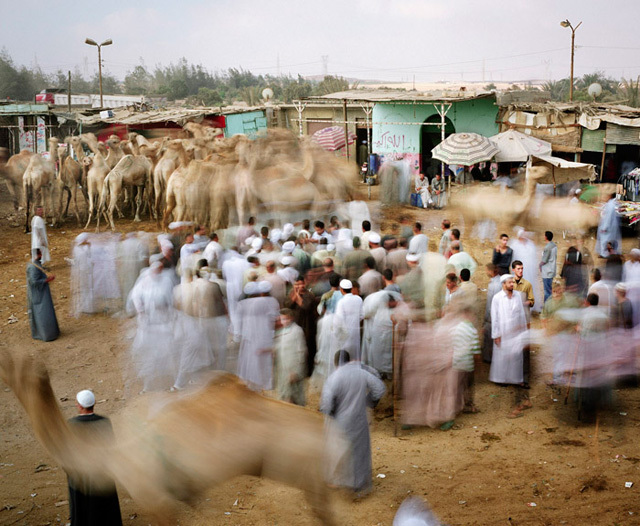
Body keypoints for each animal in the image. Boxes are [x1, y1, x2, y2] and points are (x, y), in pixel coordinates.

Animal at [0, 350, 340, 526]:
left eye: (13, 369)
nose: (6, 363)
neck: (111, 456)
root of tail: (320, 424)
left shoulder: (157, 499)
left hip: (299, 465)